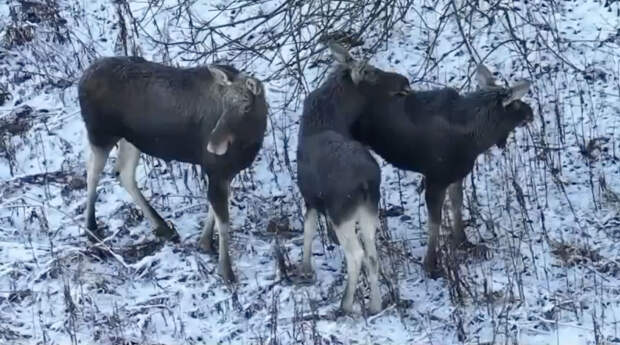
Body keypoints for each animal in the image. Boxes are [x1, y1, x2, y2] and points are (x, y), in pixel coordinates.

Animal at [78, 57, 268, 282]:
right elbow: (223, 221)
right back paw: (91, 229)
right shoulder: (215, 168)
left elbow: (213, 210)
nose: (213, 145)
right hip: (100, 134)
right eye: (224, 105)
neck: (250, 142)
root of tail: (82, 79)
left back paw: (163, 227)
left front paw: (204, 243)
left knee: (123, 173)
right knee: (92, 174)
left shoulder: (225, 172)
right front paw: (226, 270)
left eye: (246, 106)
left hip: (131, 139)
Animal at [296, 41, 412, 314]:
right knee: (372, 255)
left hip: (342, 214)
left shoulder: (310, 198)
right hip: (370, 209)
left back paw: (345, 305)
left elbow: (307, 231)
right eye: (372, 72)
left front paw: (305, 270)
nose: (405, 81)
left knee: (356, 255)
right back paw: (375, 305)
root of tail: (366, 182)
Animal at [354, 64, 532, 276]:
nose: (531, 112)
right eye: (515, 104)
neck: (477, 139)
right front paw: (430, 264)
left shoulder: (456, 175)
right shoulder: (435, 180)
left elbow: (457, 205)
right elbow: (435, 221)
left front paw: (464, 242)